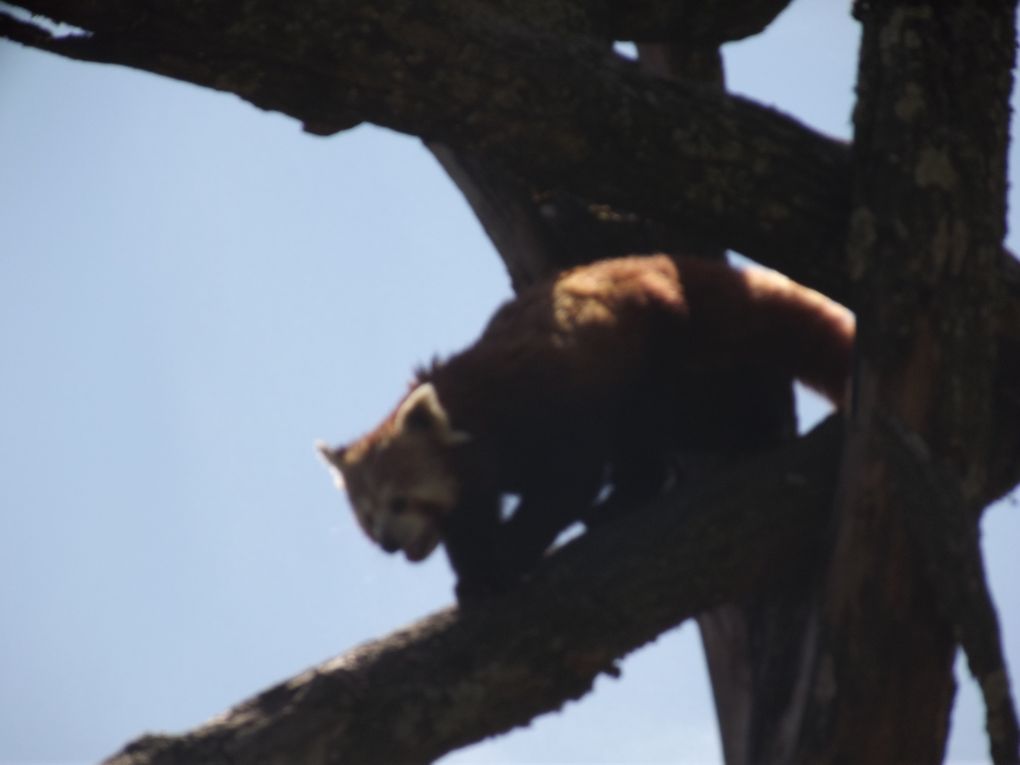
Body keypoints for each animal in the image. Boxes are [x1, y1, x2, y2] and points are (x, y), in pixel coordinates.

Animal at [318, 256, 852, 603]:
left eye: (399, 502)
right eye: (367, 517)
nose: (387, 542)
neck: (470, 407)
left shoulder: (546, 410)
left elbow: (568, 483)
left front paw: (507, 557)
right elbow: (472, 519)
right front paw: (475, 569)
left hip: (663, 350)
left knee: (679, 419)